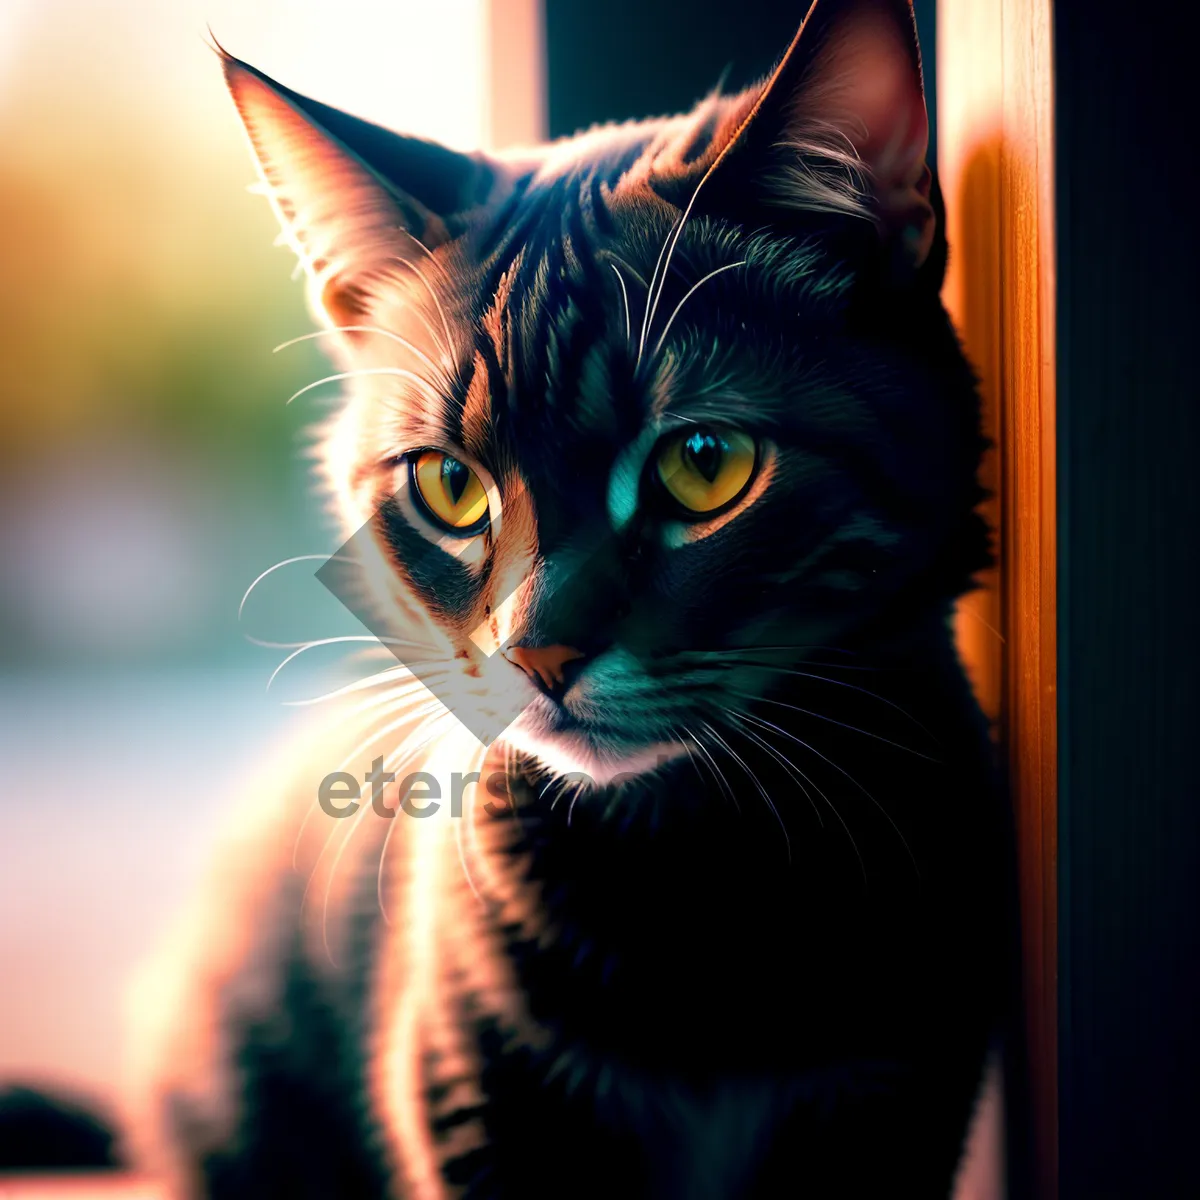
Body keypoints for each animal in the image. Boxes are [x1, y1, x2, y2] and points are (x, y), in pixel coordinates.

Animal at [129, 0, 1012, 1195]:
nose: (537, 653)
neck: (695, 884)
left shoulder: (893, 1099)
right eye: (449, 484)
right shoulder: (475, 1102)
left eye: (704, 463)